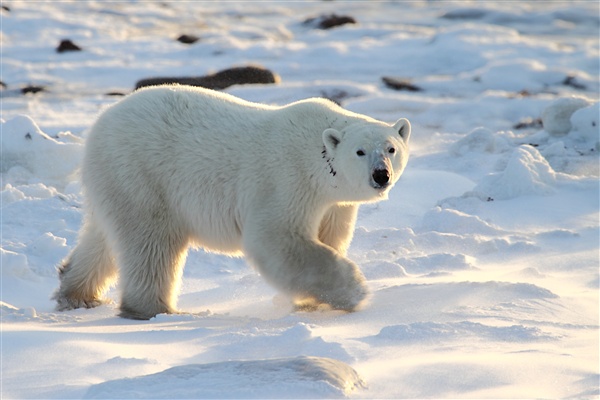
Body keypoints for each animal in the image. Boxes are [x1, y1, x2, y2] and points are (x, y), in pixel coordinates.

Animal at [54, 86, 410, 320]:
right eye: (360, 151)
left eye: (391, 148)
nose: (381, 175)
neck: (317, 154)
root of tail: (99, 124)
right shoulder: (288, 180)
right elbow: (276, 238)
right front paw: (354, 291)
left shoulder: (335, 204)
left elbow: (330, 236)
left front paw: (309, 302)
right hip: (143, 173)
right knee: (151, 243)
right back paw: (153, 309)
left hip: (116, 181)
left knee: (103, 238)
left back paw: (75, 293)